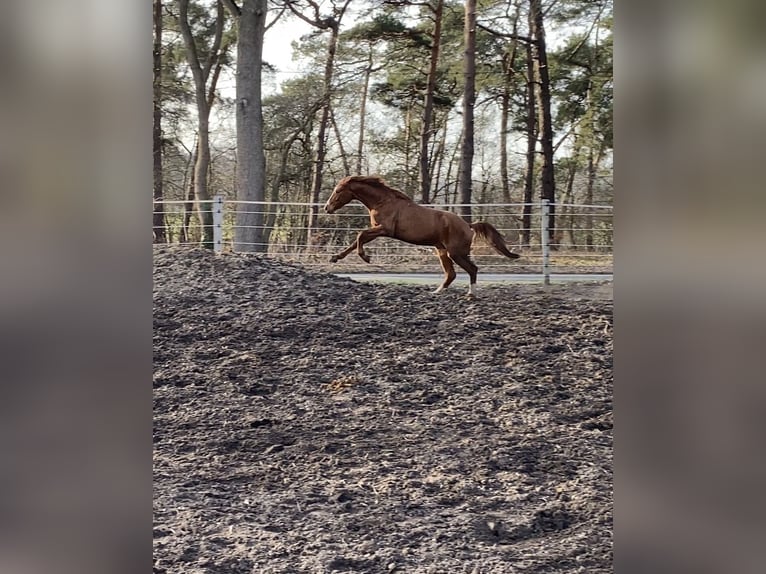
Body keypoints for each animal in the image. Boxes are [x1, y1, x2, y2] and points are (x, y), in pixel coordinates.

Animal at [324, 177, 520, 296]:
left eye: (338, 191)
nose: (327, 208)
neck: (383, 202)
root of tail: (469, 225)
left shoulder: (385, 229)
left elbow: (360, 235)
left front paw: (366, 258)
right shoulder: (377, 230)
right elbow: (356, 240)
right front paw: (335, 258)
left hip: (456, 253)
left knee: (472, 269)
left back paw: (471, 294)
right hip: (442, 252)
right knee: (451, 274)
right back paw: (436, 292)